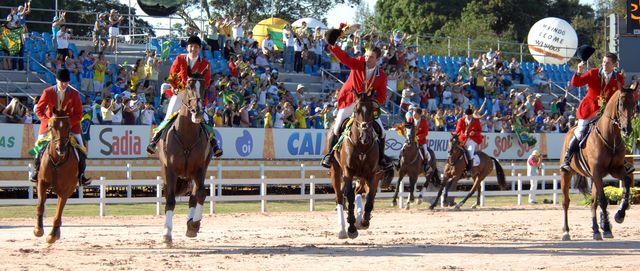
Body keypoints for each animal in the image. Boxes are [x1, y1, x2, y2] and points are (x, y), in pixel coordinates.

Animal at [33, 107, 80, 244]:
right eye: (52, 126)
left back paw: (56, 232)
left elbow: (58, 212)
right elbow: (40, 205)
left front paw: (53, 235)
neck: (57, 160)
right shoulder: (42, 183)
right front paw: (38, 229)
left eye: (68, 126)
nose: (61, 148)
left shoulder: (65, 190)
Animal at [156, 74, 214, 244]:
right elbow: (170, 199)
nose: (197, 112)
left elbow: (200, 194)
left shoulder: (200, 168)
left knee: (194, 196)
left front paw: (194, 224)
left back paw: (190, 224)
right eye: (188, 86)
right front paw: (167, 234)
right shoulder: (170, 170)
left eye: (204, 87)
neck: (187, 136)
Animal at [330, 92, 380, 240]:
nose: (365, 136)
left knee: (359, 191)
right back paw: (342, 229)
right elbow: (350, 196)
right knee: (340, 197)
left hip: (362, 176)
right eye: (356, 110)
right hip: (336, 171)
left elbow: (370, 198)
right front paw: (351, 227)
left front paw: (364, 221)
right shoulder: (348, 172)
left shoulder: (372, 174)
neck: (361, 146)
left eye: (372, 110)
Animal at [556, 84, 636, 241]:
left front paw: (619, 214)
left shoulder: (616, 170)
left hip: (593, 178)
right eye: (621, 104)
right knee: (566, 202)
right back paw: (566, 231)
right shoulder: (598, 171)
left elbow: (627, 182)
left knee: (593, 203)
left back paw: (596, 230)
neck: (610, 136)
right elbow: (603, 201)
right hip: (566, 175)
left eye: (634, 104)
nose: (627, 129)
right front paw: (608, 228)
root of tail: (570, 130)